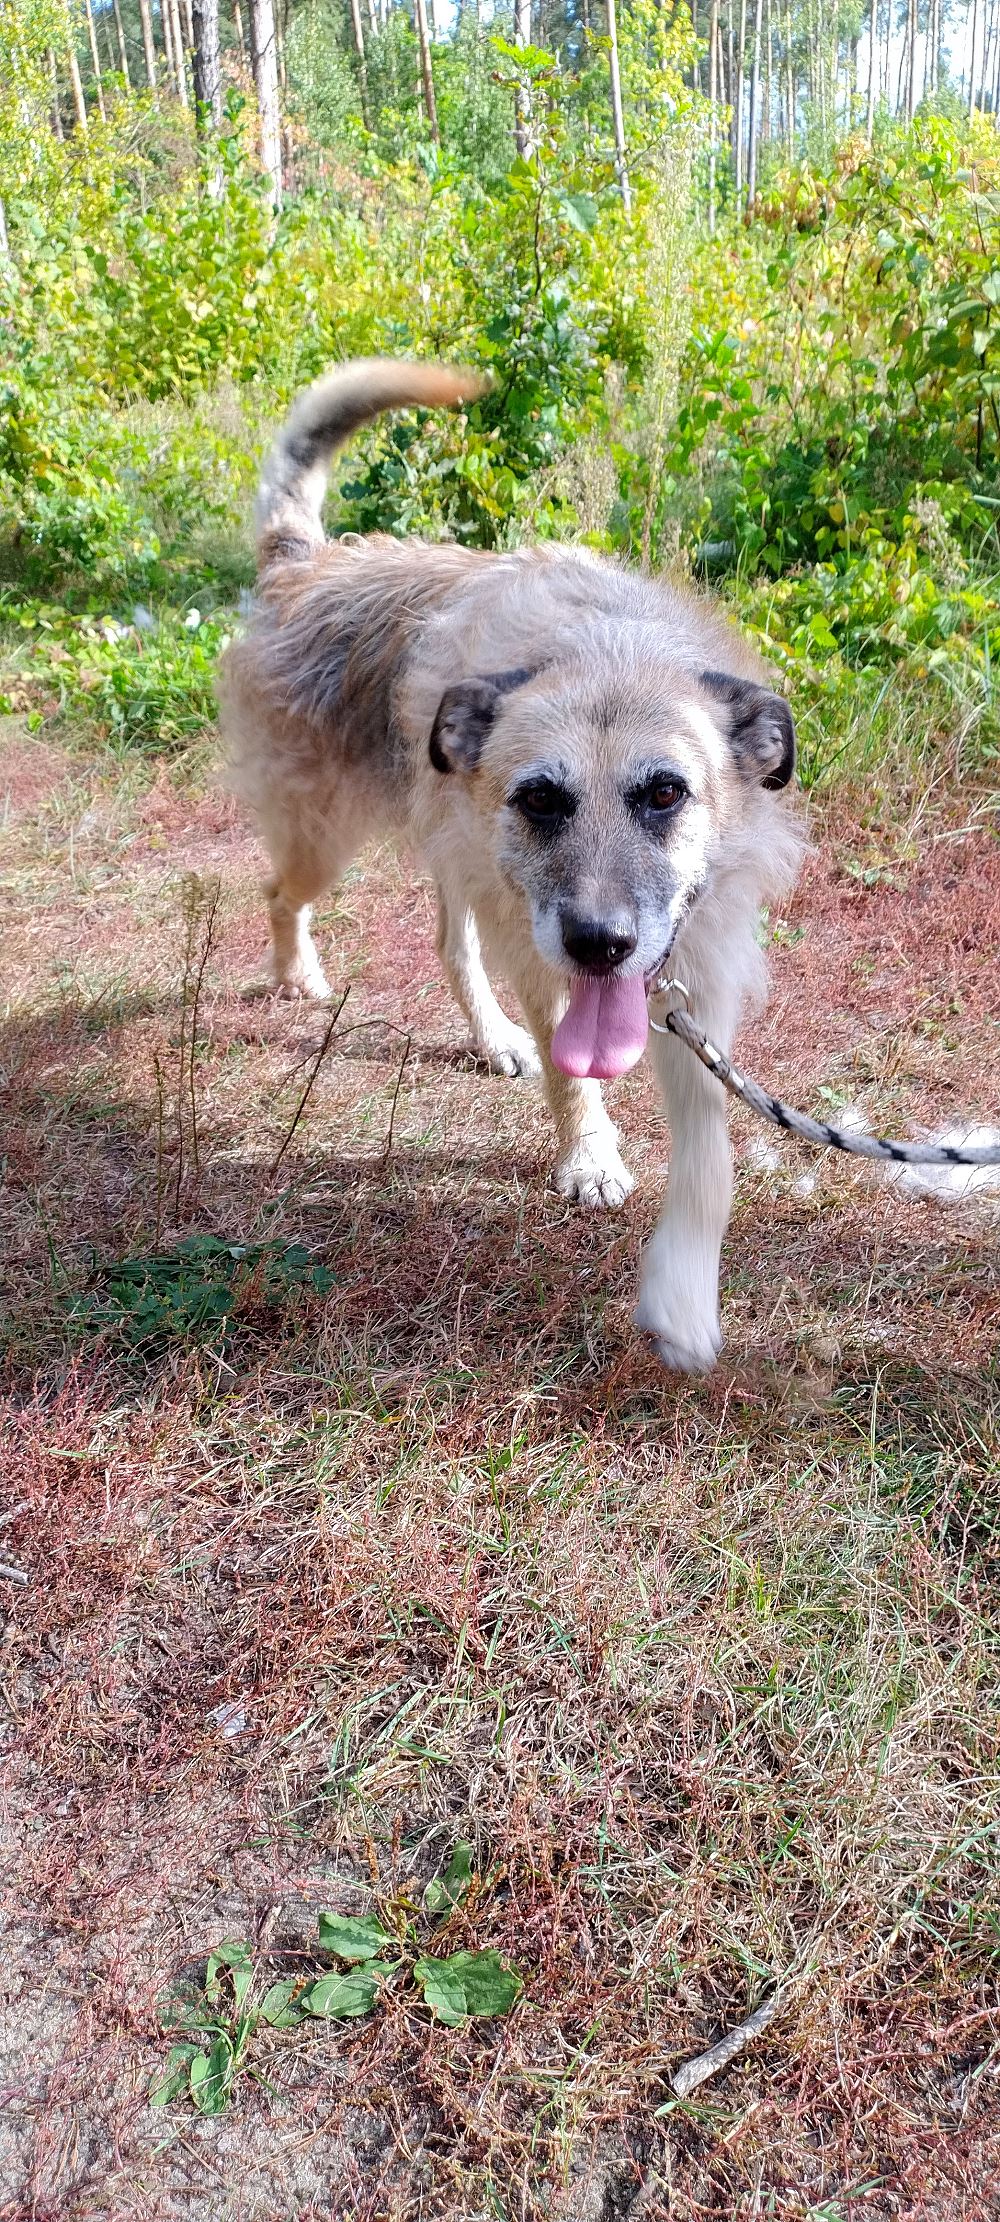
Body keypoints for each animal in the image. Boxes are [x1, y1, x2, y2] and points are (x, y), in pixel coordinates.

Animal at [219, 359, 803, 1372]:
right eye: (541, 798)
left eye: (665, 794)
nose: (602, 945)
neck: (605, 645)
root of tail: (303, 565)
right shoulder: (544, 953)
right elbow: (576, 1075)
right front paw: (590, 1157)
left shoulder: (695, 975)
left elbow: (709, 1153)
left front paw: (682, 1293)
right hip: (330, 842)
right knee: (280, 893)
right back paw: (298, 975)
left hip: (464, 868)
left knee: (452, 949)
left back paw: (491, 1037)